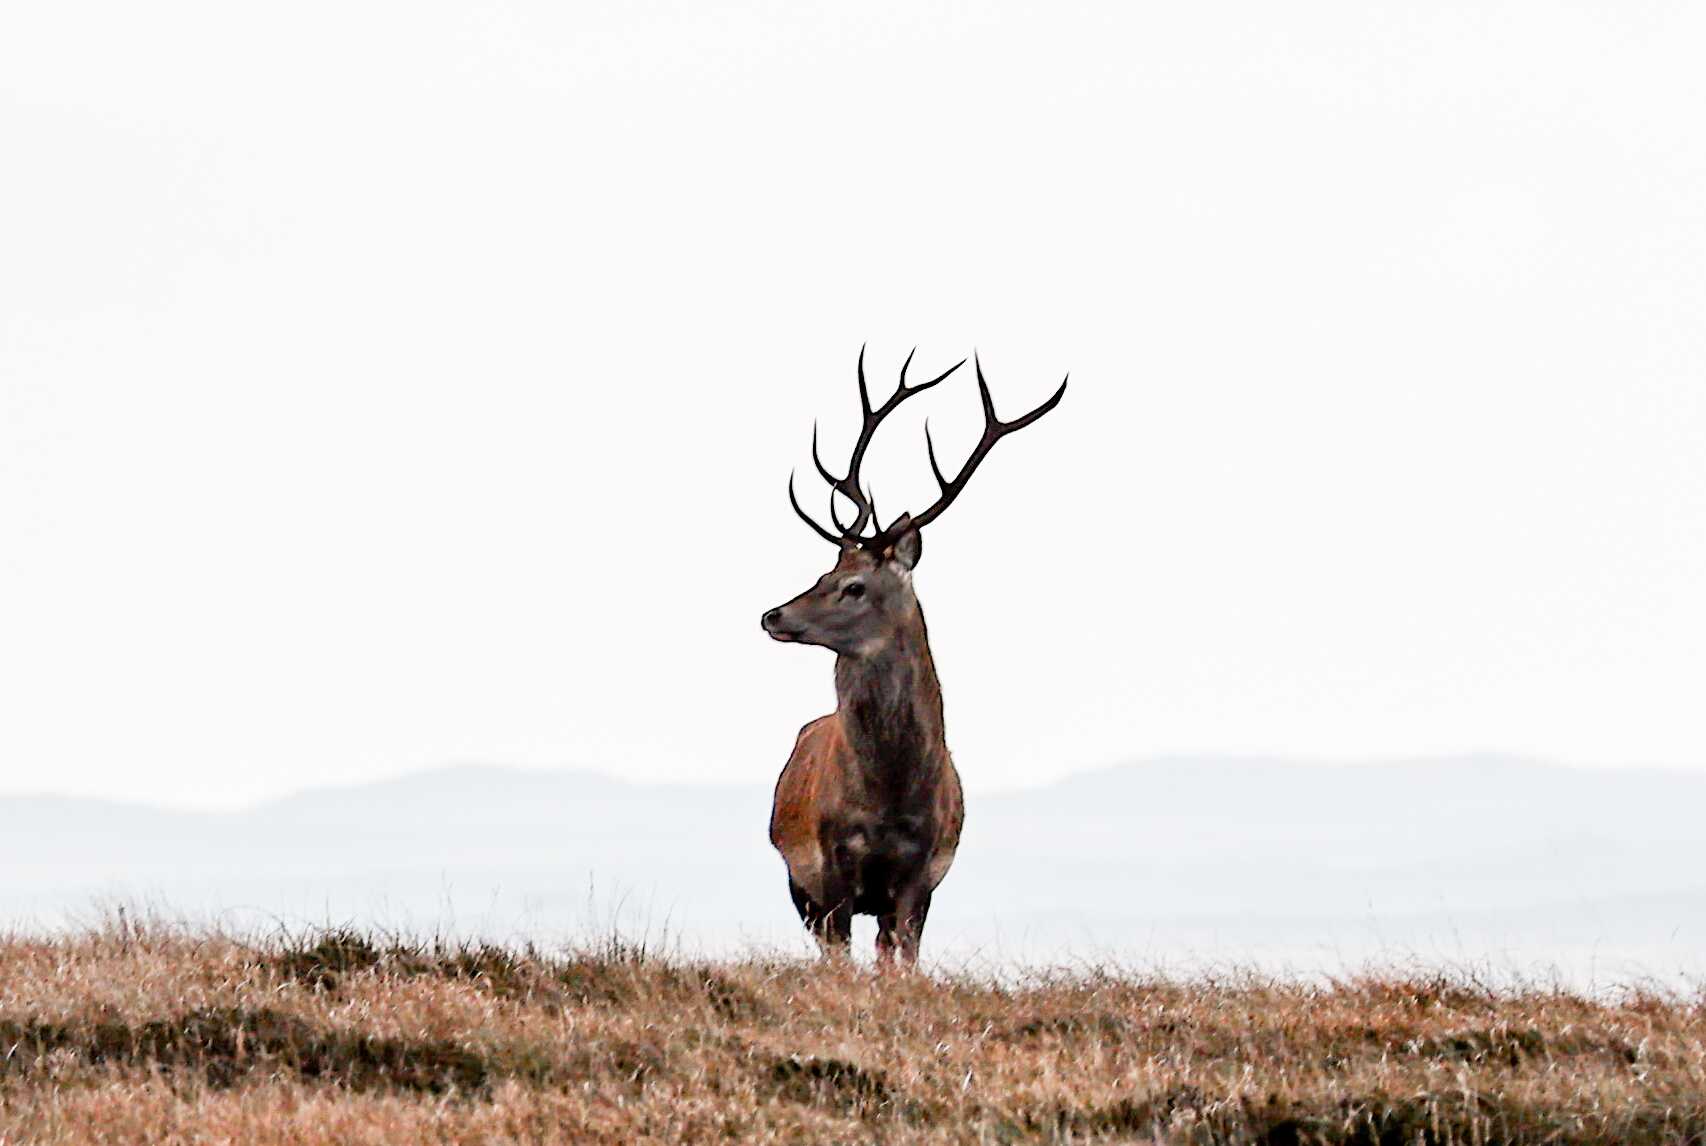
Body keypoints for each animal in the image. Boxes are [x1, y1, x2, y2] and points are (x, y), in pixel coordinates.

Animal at [760, 347, 1067, 965]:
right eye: (823, 574)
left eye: (853, 586)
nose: (772, 615)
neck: (890, 798)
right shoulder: (830, 865)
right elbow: (842, 960)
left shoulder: (921, 875)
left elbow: (902, 961)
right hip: (797, 881)